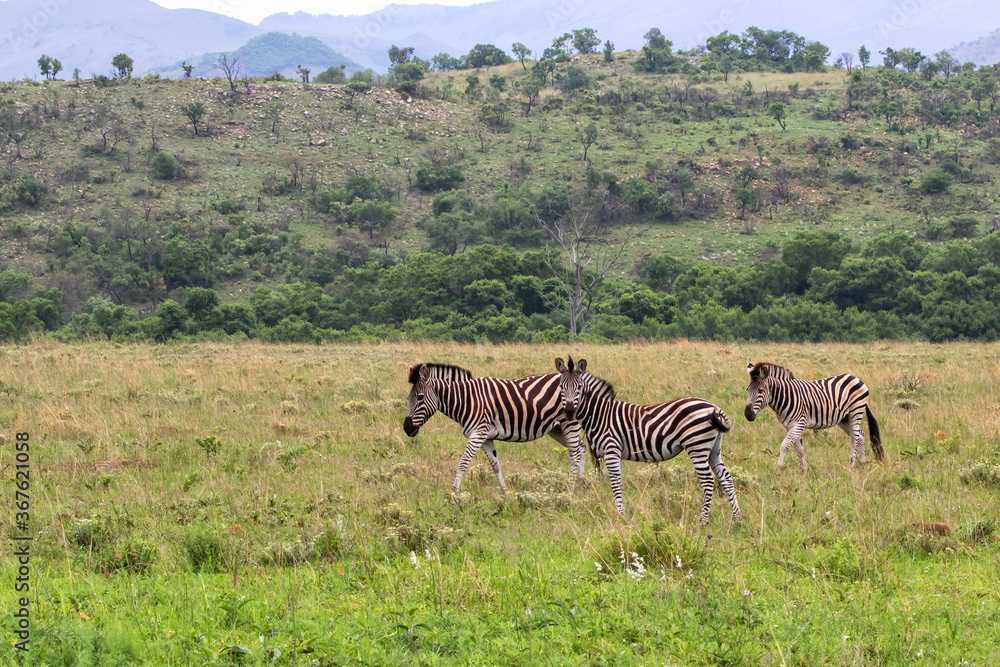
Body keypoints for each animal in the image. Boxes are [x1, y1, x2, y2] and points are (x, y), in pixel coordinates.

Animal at [403, 362, 585, 493]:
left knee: (575, 453)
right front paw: (505, 491)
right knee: (581, 447)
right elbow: (495, 465)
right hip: (556, 428)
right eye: (409, 397)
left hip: (569, 423)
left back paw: (571, 489)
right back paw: (583, 484)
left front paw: (454, 491)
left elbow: (463, 462)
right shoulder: (486, 437)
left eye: (420, 397)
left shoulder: (478, 433)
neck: (468, 400)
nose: (406, 428)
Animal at [556, 357, 741, 525]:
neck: (600, 414)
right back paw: (737, 518)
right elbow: (620, 484)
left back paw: (703, 521)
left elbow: (615, 485)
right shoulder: (617, 454)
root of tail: (713, 406)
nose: (569, 411)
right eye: (561, 387)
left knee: (708, 482)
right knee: (726, 478)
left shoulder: (611, 451)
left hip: (697, 447)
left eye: (579, 387)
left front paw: (621, 517)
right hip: (713, 449)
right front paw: (623, 514)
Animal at [744, 361, 883, 471]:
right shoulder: (790, 426)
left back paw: (850, 467)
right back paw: (863, 464)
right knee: (861, 435)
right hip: (844, 419)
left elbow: (785, 445)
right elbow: (799, 449)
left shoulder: (798, 423)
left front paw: (778, 468)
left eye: (761, 391)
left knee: (855, 438)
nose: (747, 414)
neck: (786, 396)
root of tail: (855, 378)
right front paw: (804, 471)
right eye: (747, 389)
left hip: (855, 412)